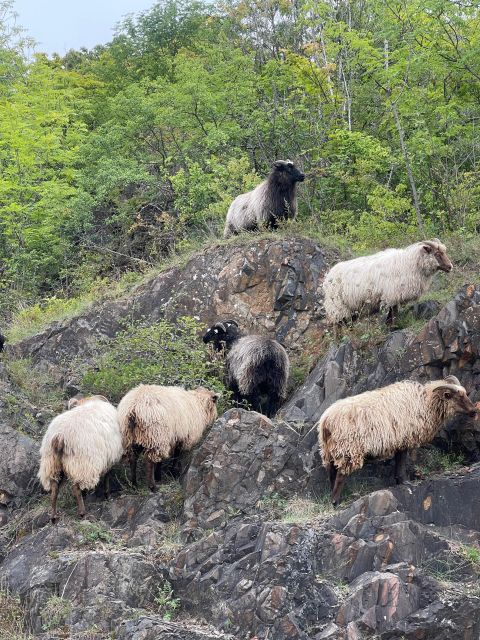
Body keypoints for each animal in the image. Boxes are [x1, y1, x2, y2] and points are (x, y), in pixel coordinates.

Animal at [38, 392, 123, 524]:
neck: (89, 402)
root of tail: (60, 436)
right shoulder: (110, 458)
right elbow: (107, 476)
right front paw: (107, 494)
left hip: (51, 463)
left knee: (54, 489)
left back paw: (53, 516)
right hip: (82, 463)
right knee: (76, 488)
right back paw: (82, 513)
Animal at [316, 376, 478, 504]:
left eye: (465, 394)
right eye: (458, 397)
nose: (474, 411)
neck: (425, 402)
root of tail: (326, 420)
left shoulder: (400, 440)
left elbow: (399, 461)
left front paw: (399, 480)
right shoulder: (404, 438)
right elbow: (401, 462)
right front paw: (405, 481)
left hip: (329, 450)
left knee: (332, 473)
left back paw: (332, 498)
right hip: (348, 448)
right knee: (341, 475)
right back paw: (336, 501)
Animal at [322, 240, 454, 330]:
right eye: (437, 254)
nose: (450, 267)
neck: (410, 264)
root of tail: (328, 276)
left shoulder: (393, 296)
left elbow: (392, 313)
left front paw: (390, 325)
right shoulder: (392, 294)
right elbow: (394, 313)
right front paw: (394, 326)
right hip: (337, 305)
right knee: (337, 324)